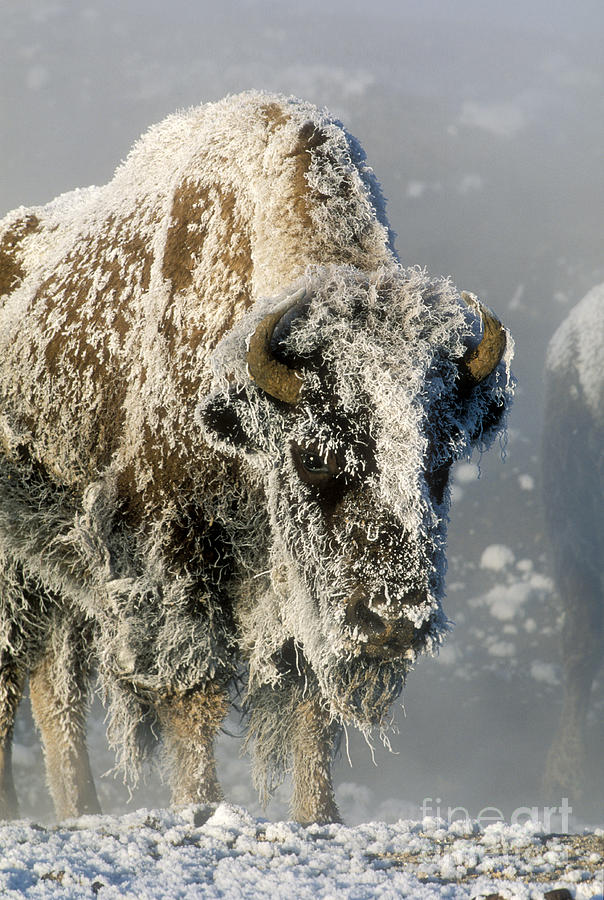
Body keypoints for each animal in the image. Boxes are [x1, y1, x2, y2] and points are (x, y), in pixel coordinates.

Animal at [0, 91, 516, 824]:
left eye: (440, 463)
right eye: (316, 458)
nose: (395, 622)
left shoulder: (299, 592)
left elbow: (311, 699)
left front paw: (320, 815)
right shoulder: (177, 554)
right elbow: (195, 690)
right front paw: (203, 805)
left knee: (55, 691)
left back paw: (81, 809)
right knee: (16, 682)